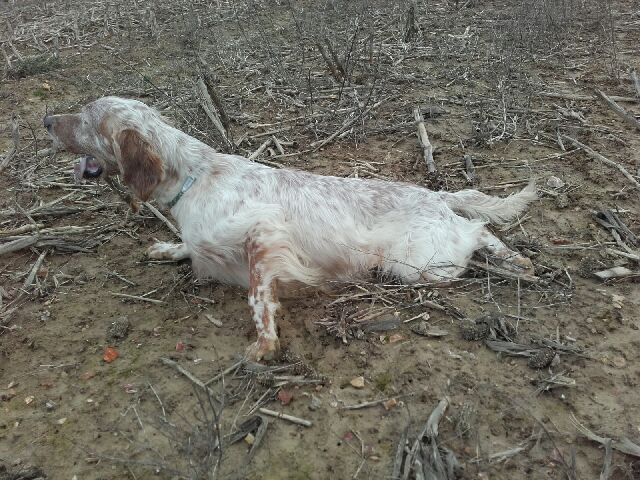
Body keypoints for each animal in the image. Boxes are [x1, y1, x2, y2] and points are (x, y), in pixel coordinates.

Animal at [43, 96, 536, 360]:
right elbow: (188, 246)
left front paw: (264, 344)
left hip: (421, 264)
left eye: (86, 119)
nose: (47, 120)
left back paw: (517, 260)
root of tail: (435, 195)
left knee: (478, 230)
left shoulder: (263, 233)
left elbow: (258, 297)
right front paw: (167, 248)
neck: (194, 177)